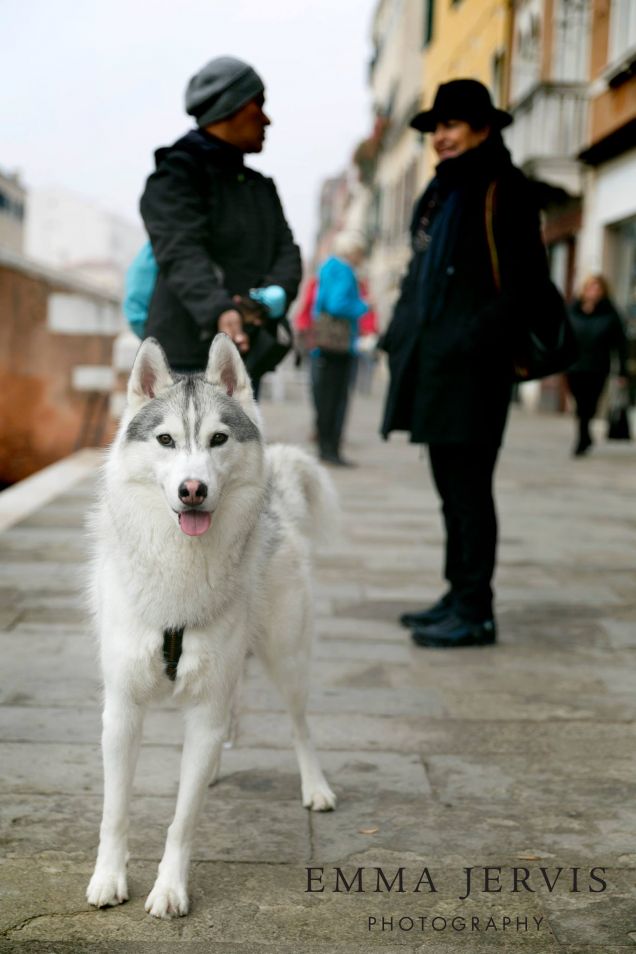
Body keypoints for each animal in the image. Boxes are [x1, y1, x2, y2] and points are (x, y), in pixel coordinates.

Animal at [88, 332, 338, 916]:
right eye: (165, 439)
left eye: (218, 439)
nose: (193, 490)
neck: (179, 568)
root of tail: (278, 505)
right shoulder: (122, 711)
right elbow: (115, 811)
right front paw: (109, 878)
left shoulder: (204, 710)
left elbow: (183, 820)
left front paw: (169, 889)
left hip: (287, 660)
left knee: (300, 726)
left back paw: (314, 786)